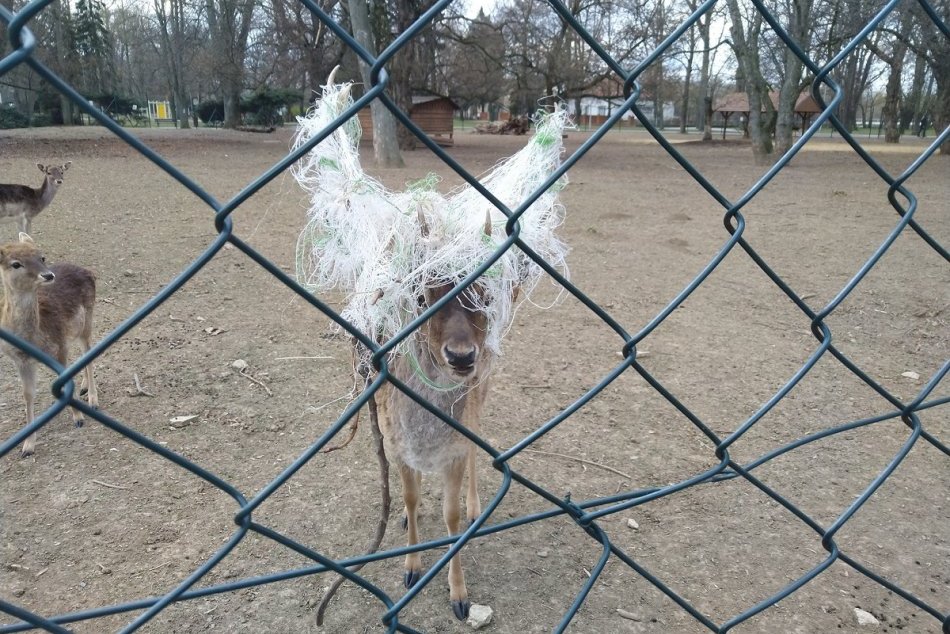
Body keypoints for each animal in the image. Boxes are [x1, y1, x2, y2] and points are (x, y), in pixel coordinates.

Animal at [0, 232, 98, 454]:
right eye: (16, 264)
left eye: (42, 257)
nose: (48, 275)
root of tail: (88, 271)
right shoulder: (21, 360)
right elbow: (27, 394)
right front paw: (27, 446)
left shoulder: (59, 344)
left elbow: (64, 381)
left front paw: (78, 418)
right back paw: (84, 388)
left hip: (86, 319)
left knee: (88, 350)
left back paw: (92, 400)